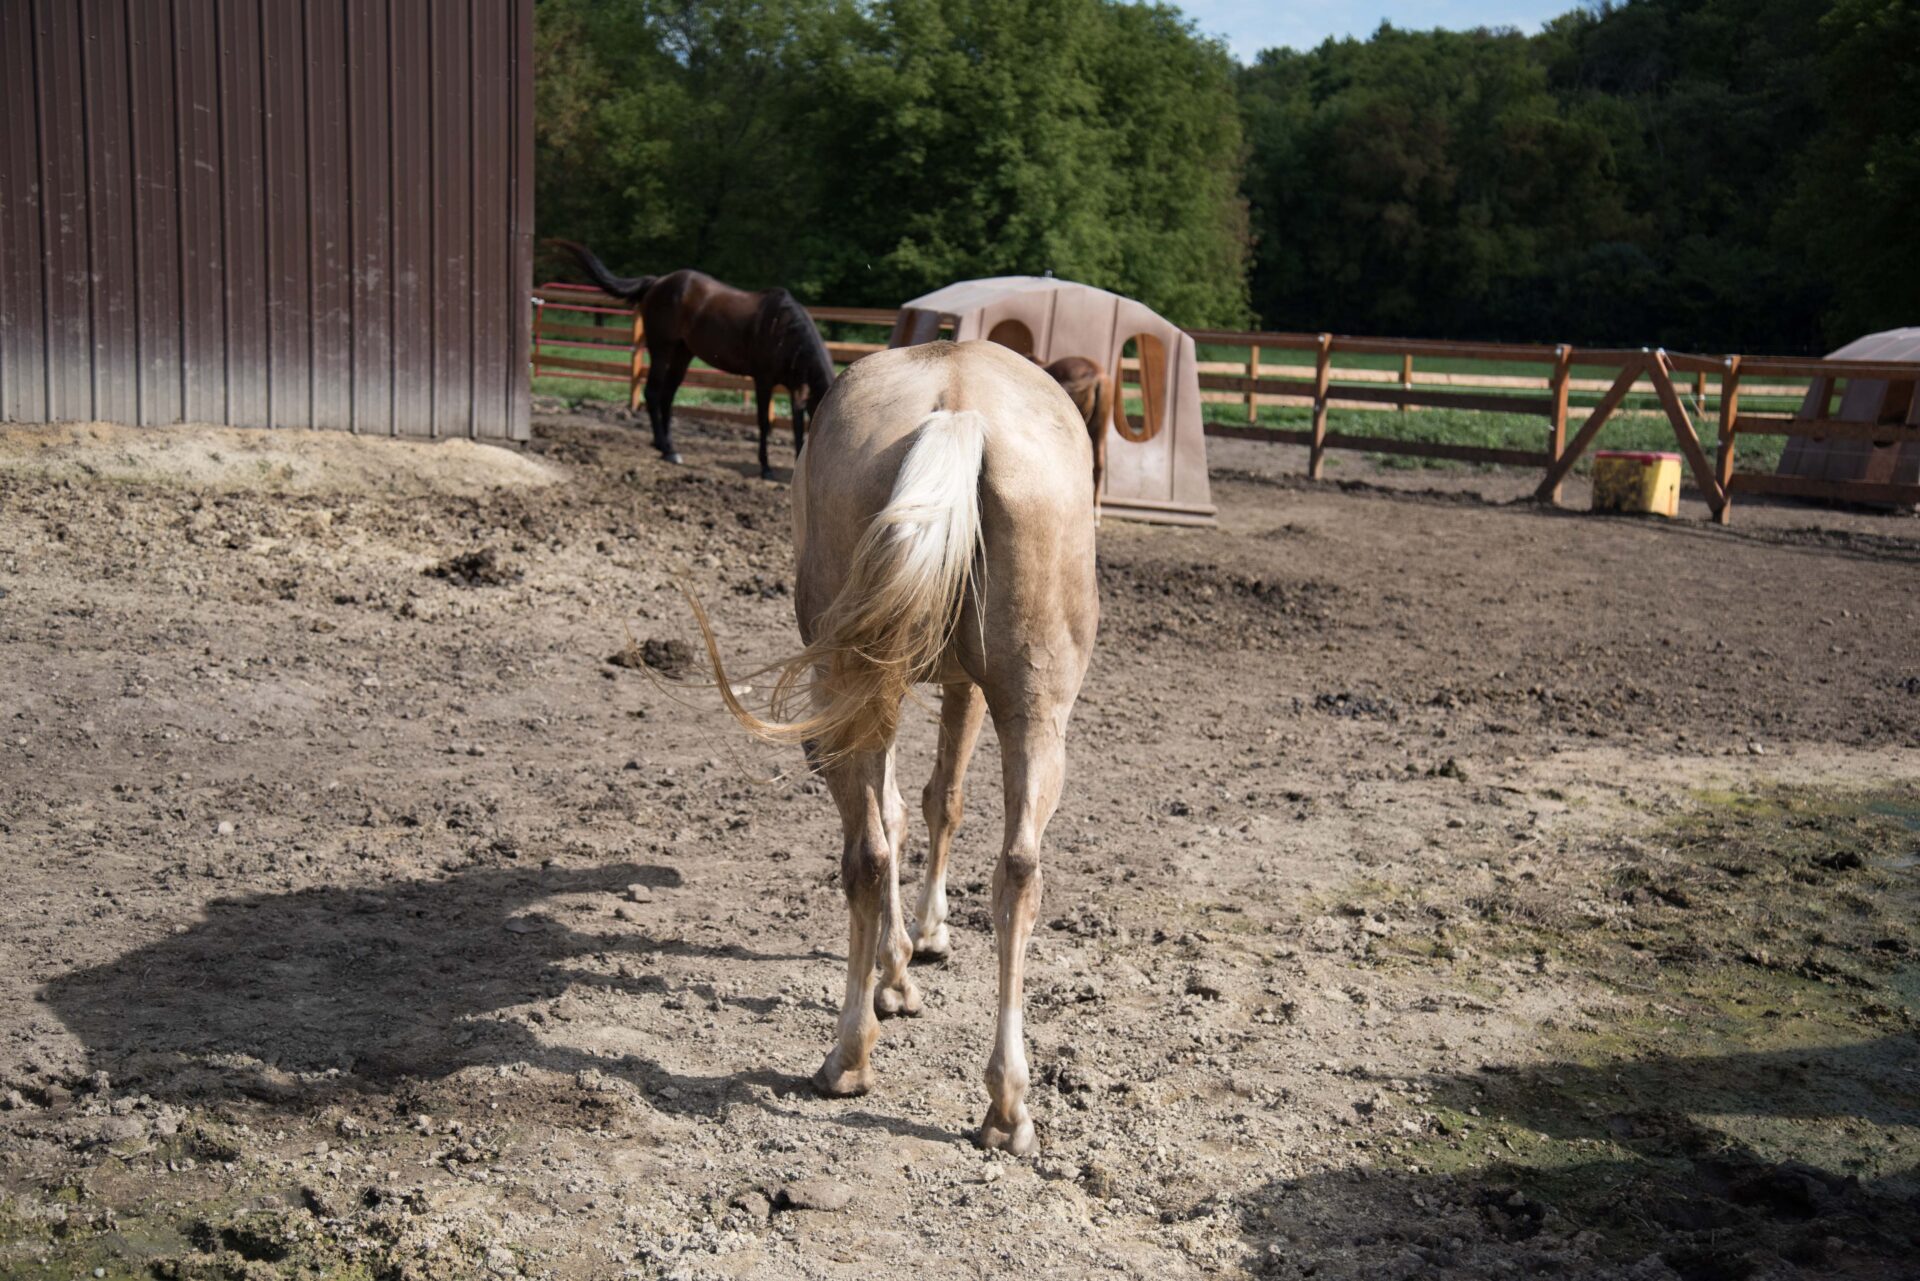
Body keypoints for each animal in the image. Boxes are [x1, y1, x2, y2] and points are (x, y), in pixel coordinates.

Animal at [549, 238, 833, 478]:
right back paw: (667, 450)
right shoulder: (763, 380)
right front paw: (766, 467)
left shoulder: (797, 387)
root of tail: (657, 282)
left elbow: (796, 424)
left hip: (682, 354)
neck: (786, 332)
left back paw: (666, 444)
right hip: (661, 348)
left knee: (666, 396)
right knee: (653, 392)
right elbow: (765, 422)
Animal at [698, 336, 1105, 1160]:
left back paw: (852, 1056)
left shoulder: (927, 688)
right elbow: (932, 803)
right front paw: (916, 949)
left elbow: (917, 806)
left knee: (874, 851)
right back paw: (1004, 1106)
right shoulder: (954, 686)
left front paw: (904, 963)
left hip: (867, 688)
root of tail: (958, 409)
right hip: (1030, 709)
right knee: (1016, 870)